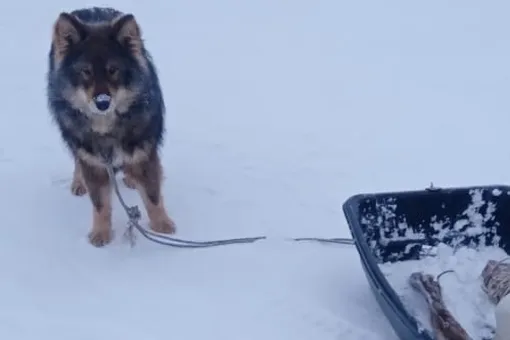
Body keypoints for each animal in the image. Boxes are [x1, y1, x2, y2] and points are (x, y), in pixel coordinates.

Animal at [46, 6, 177, 246]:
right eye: (86, 71)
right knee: (77, 160)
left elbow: (153, 196)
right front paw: (101, 233)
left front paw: (162, 226)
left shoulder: (145, 153)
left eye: (113, 70)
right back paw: (78, 182)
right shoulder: (93, 162)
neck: (107, 126)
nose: (102, 102)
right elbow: (100, 204)